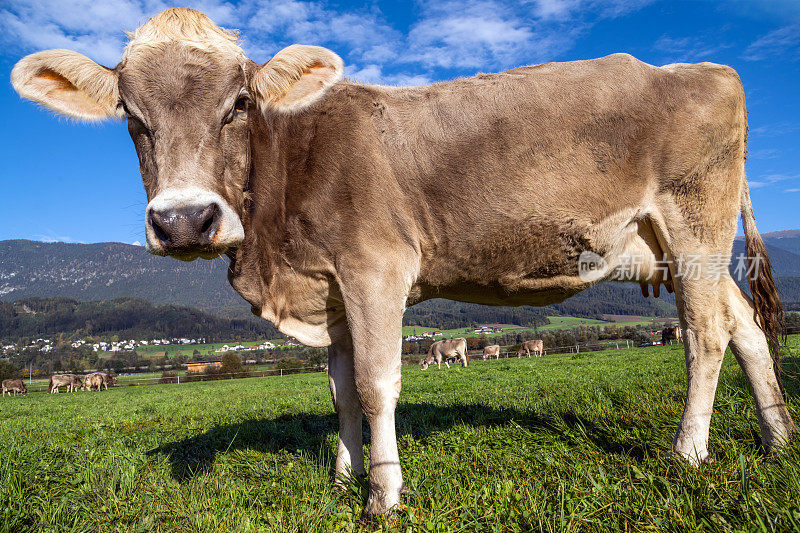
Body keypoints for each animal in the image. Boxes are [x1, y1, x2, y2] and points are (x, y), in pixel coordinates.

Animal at [12, 7, 792, 516]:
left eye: (239, 103)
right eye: (131, 114)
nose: (183, 220)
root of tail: (707, 69)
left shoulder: (375, 270)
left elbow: (377, 385)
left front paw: (383, 494)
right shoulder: (330, 290)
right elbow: (339, 392)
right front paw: (341, 477)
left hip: (694, 228)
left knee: (705, 335)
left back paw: (689, 452)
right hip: (676, 246)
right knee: (746, 325)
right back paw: (778, 437)